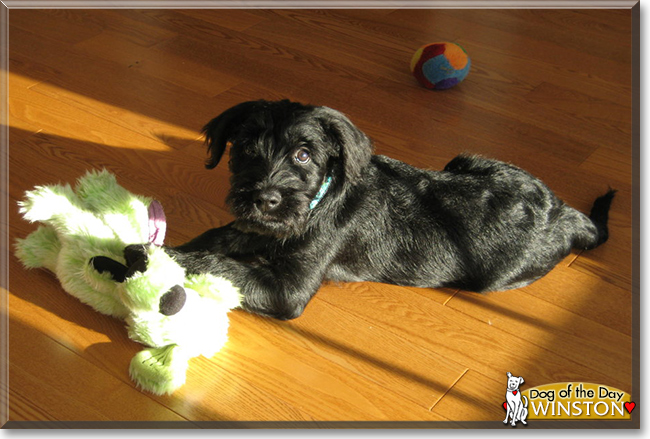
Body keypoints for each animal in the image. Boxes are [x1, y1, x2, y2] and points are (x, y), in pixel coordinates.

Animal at [162, 99, 612, 320]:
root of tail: (564, 213)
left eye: (304, 154)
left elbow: (225, 266)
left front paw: (168, 257)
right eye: (245, 147)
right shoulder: (253, 229)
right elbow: (219, 237)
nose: (264, 199)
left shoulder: (287, 290)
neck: (319, 201)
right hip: (465, 160)